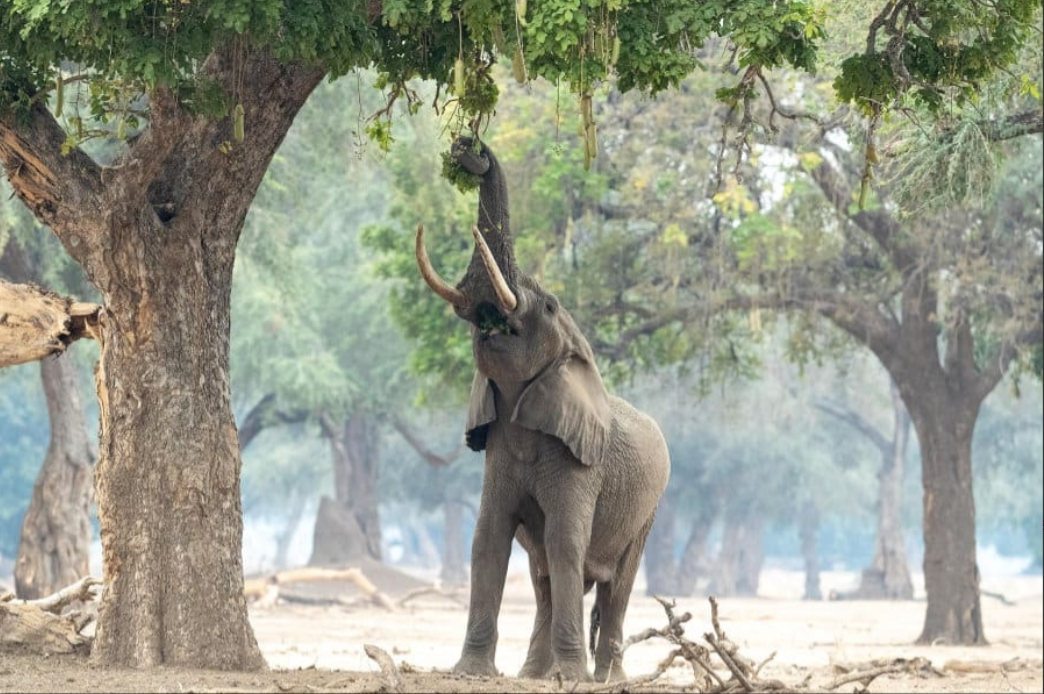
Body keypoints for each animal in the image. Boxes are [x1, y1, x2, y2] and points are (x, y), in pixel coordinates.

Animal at [415, 136, 668, 680]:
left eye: (549, 306)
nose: (472, 151)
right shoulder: (498, 453)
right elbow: (488, 538)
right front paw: (471, 671)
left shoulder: (581, 467)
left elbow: (565, 542)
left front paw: (572, 680)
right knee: (542, 576)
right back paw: (535, 673)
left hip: (649, 508)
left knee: (616, 586)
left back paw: (605, 677)